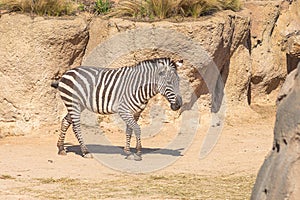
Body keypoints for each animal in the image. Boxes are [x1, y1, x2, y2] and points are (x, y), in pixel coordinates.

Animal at [51, 57, 183, 159]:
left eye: (179, 81)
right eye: (169, 82)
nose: (178, 105)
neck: (140, 88)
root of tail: (67, 72)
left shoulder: (135, 112)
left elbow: (130, 130)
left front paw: (128, 152)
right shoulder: (123, 110)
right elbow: (137, 129)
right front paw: (138, 152)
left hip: (78, 105)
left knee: (65, 121)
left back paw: (61, 148)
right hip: (73, 103)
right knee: (76, 127)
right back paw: (85, 152)